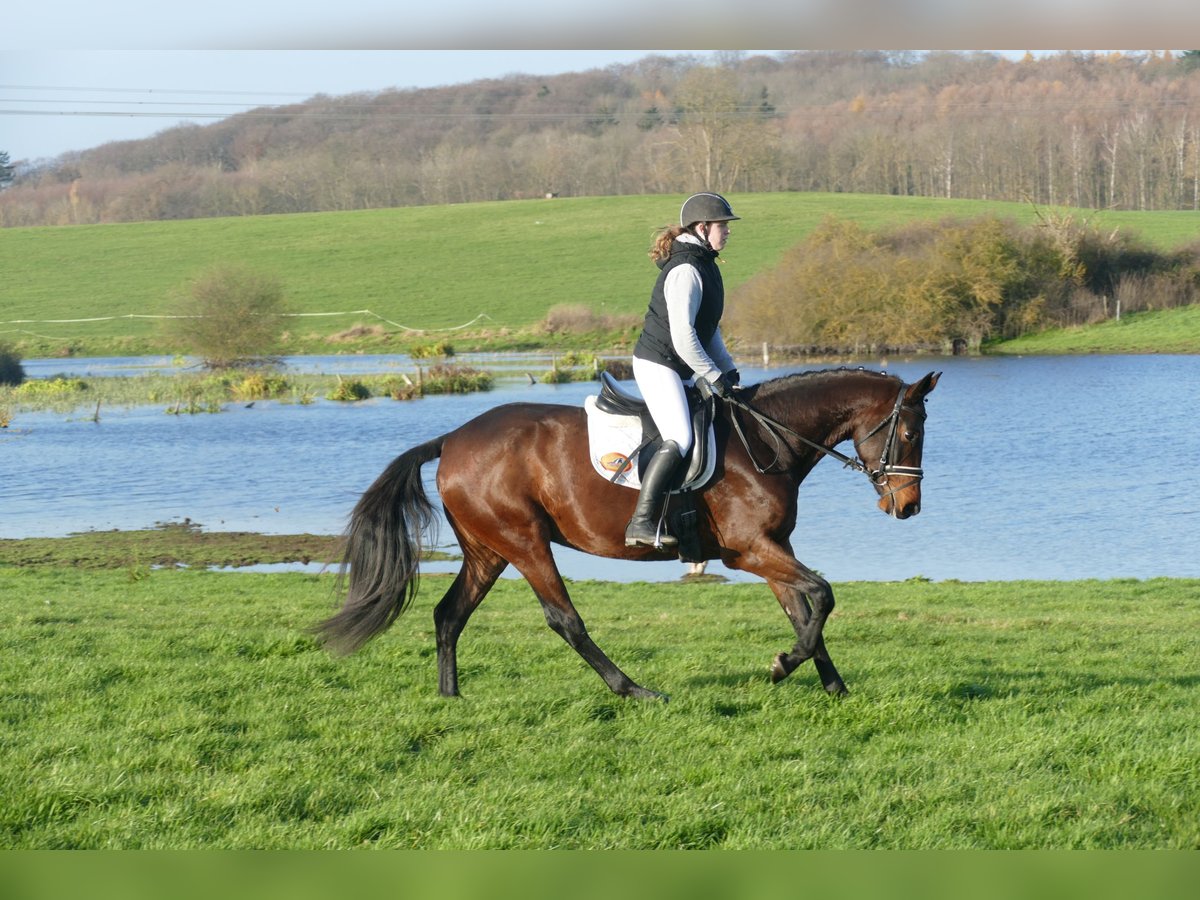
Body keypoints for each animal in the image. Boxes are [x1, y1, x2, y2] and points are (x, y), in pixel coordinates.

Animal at [314, 369, 940, 700]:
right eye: (911, 433)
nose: (908, 507)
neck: (768, 440)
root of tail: (451, 437)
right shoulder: (748, 552)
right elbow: (822, 595)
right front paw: (784, 666)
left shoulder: (774, 549)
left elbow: (805, 609)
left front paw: (830, 684)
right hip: (524, 542)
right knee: (564, 619)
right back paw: (634, 689)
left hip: (487, 550)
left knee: (450, 615)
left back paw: (451, 696)